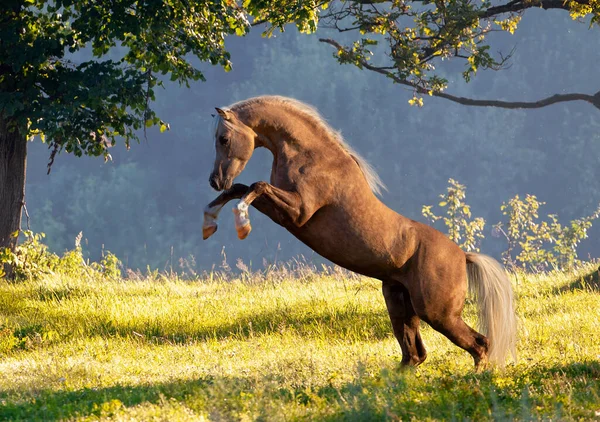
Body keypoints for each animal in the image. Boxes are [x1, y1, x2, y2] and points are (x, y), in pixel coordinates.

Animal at [203, 95, 516, 370]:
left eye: (224, 139)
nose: (215, 180)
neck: (310, 156)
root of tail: (463, 255)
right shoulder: (286, 211)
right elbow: (241, 188)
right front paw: (209, 223)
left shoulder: (298, 213)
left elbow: (255, 187)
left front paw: (242, 224)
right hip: (399, 303)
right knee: (415, 355)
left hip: (438, 313)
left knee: (479, 344)